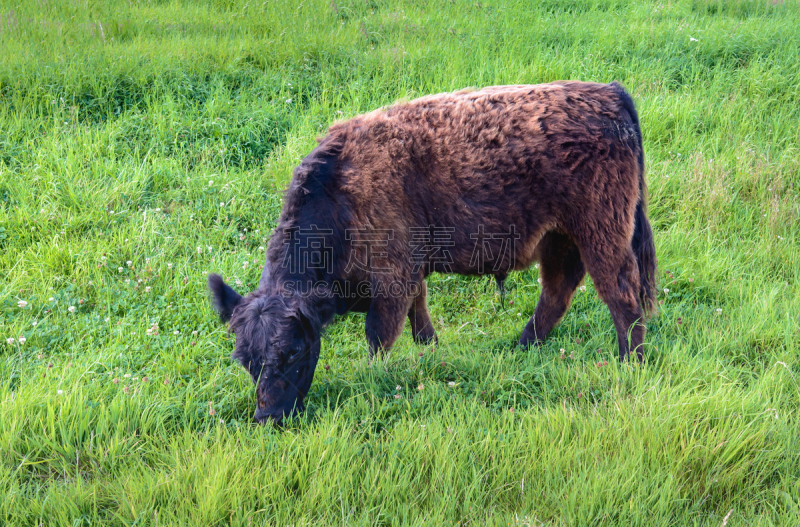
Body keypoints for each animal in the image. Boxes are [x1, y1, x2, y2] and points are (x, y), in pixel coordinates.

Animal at [209, 81, 660, 424]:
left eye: (295, 351)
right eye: (245, 359)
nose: (268, 416)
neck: (340, 194)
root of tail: (609, 92)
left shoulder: (391, 281)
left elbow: (379, 338)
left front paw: (376, 378)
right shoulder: (410, 274)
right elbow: (419, 316)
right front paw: (431, 351)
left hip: (602, 235)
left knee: (622, 297)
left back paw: (629, 363)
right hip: (560, 239)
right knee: (557, 294)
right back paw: (521, 348)